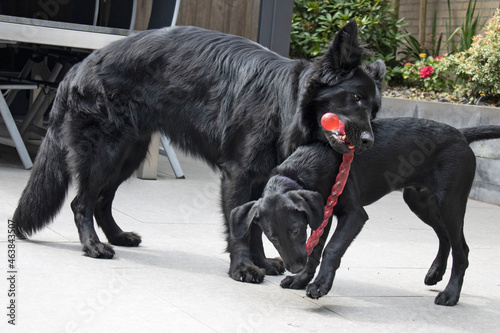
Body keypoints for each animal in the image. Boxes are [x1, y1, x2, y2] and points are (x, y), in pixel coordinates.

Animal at [232, 117, 500, 306]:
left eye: (296, 230)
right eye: (272, 237)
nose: (294, 267)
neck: (303, 168)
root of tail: (460, 134)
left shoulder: (354, 215)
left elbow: (331, 249)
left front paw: (320, 285)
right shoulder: (321, 214)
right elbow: (316, 249)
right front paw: (301, 280)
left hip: (449, 203)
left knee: (461, 248)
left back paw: (450, 294)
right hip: (419, 201)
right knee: (445, 237)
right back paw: (435, 273)